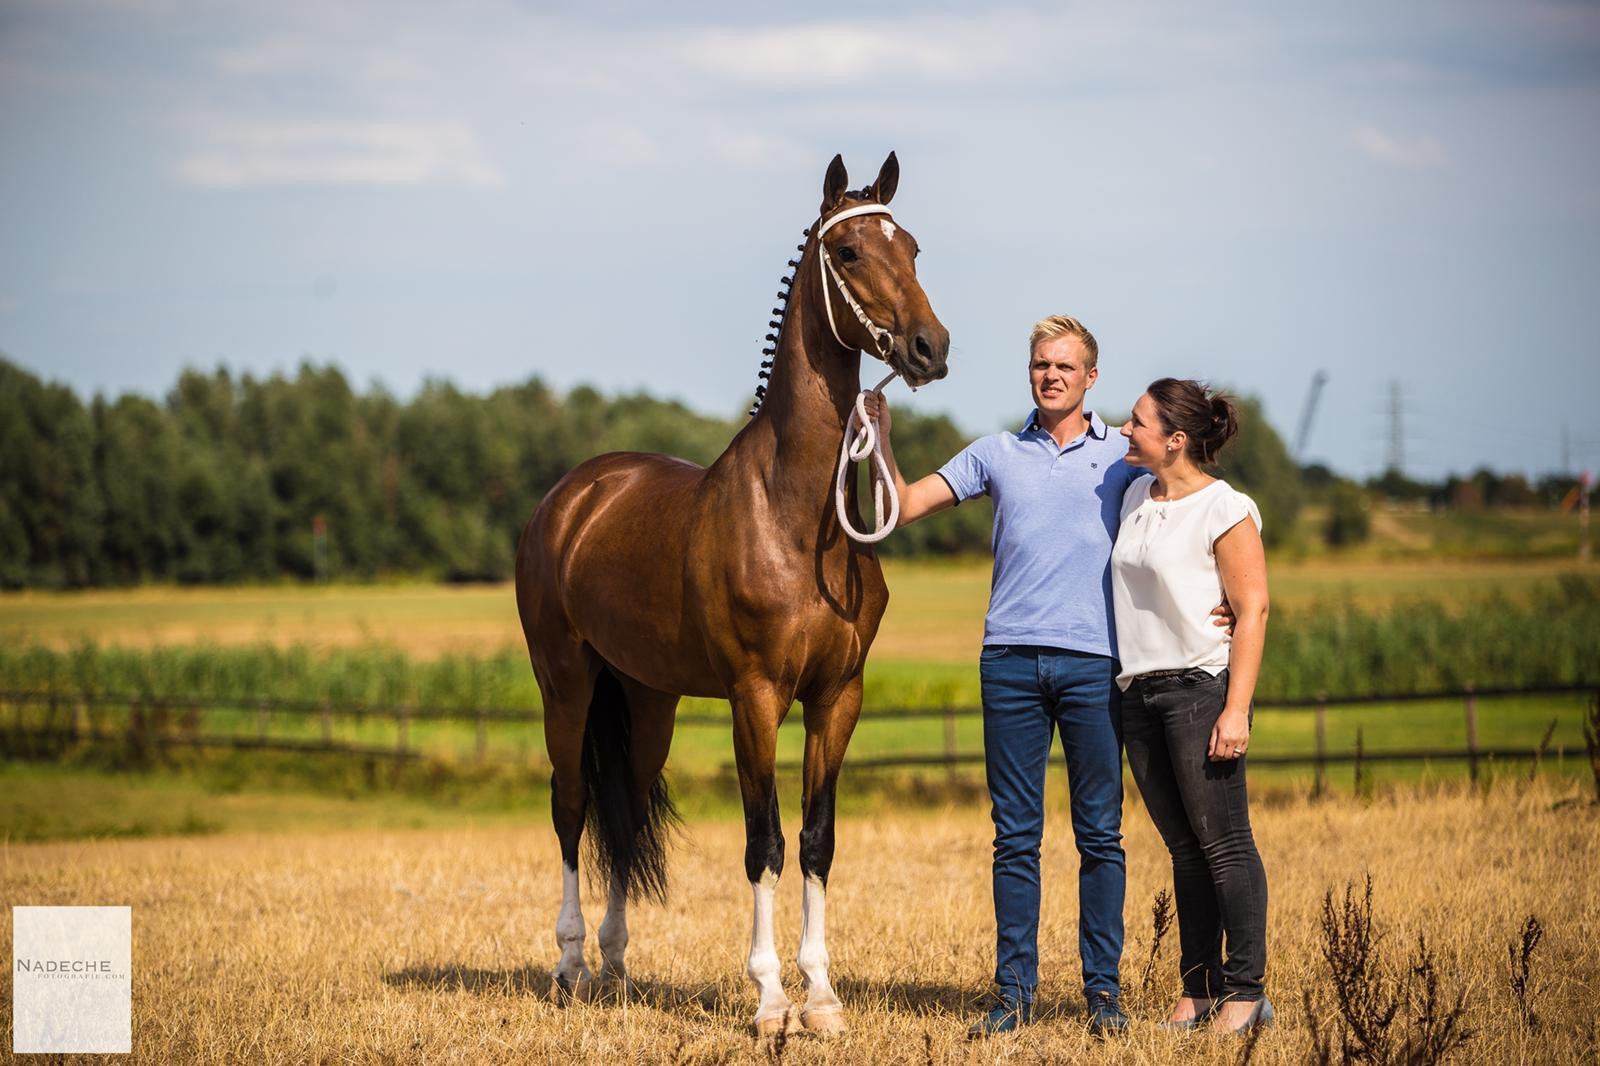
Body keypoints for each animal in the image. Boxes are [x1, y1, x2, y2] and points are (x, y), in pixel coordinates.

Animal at [514, 151, 950, 1037]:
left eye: (914, 247)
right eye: (848, 252)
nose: (931, 347)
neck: (794, 515)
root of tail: (571, 498)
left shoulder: (836, 697)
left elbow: (816, 841)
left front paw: (823, 999)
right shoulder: (756, 696)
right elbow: (764, 843)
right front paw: (771, 1000)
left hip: (648, 701)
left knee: (623, 810)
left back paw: (617, 967)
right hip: (565, 684)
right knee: (571, 808)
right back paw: (571, 965)